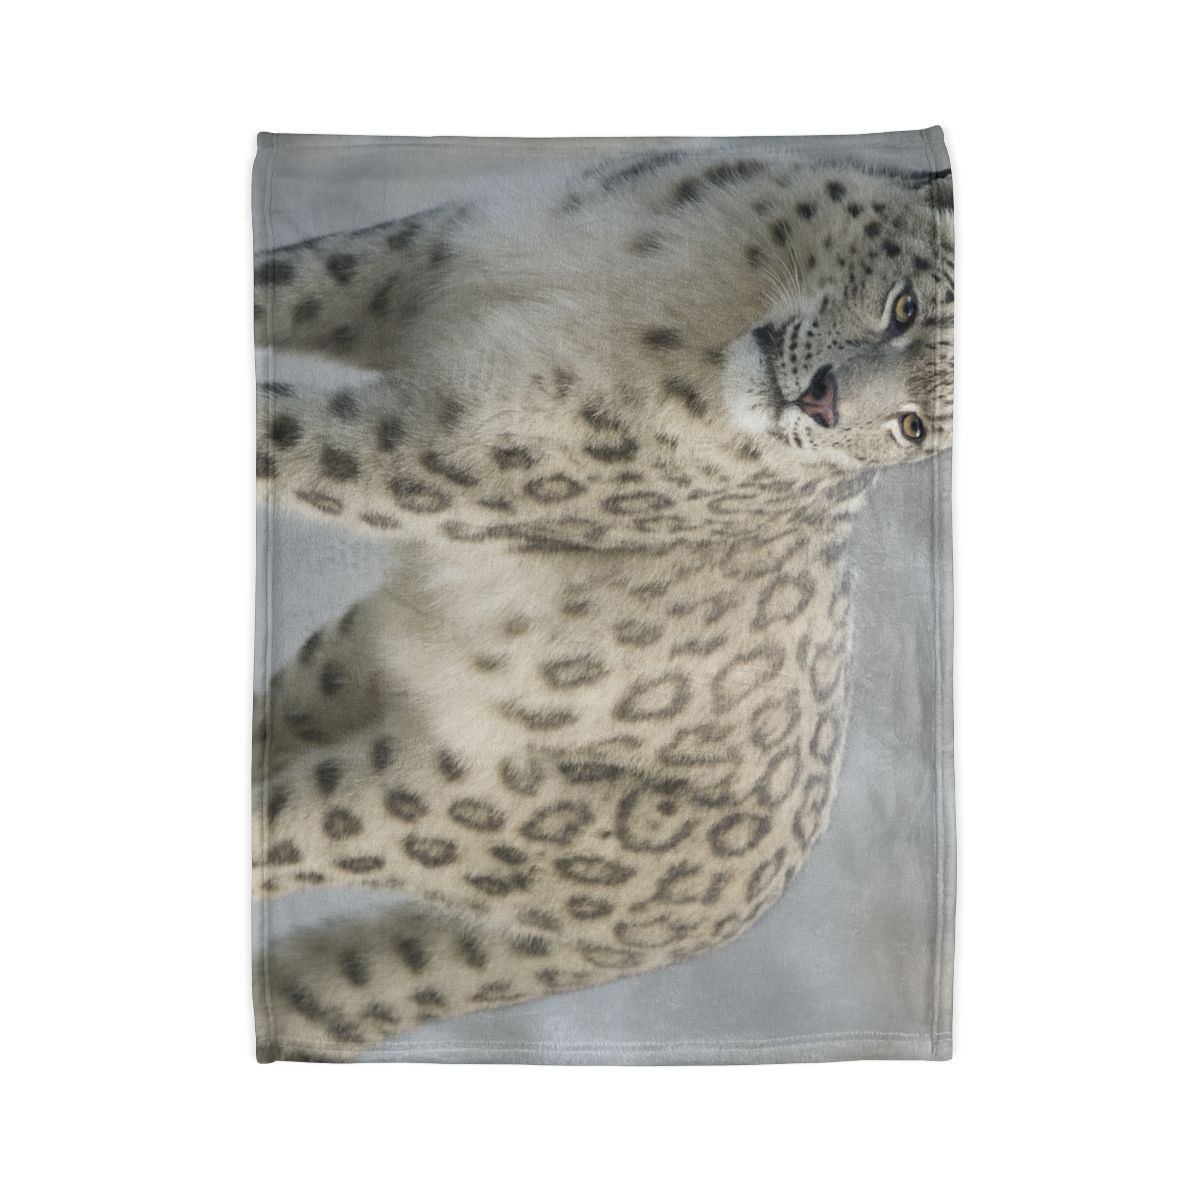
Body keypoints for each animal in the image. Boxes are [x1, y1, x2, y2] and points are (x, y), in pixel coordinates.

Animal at [252, 144, 954, 1061]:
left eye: (912, 426)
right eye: (905, 304)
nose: (823, 400)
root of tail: (739, 912)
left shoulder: (445, 452)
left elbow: (285, 435)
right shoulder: (421, 256)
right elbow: (287, 279)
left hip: (440, 804)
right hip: (349, 660)